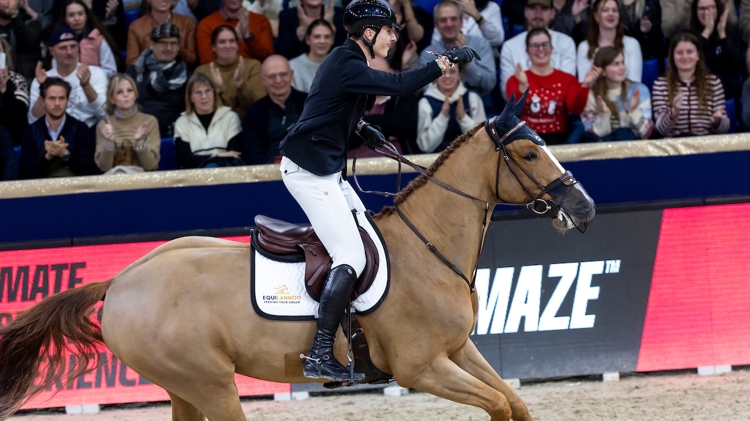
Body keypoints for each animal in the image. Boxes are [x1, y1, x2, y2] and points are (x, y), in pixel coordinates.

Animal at [0, 95, 600, 420]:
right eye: (528, 153)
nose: (586, 207)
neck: (427, 248)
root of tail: (121, 281)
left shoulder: (459, 351)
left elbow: (513, 403)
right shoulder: (422, 367)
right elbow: (498, 404)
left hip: (182, 387)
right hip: (209, 383)